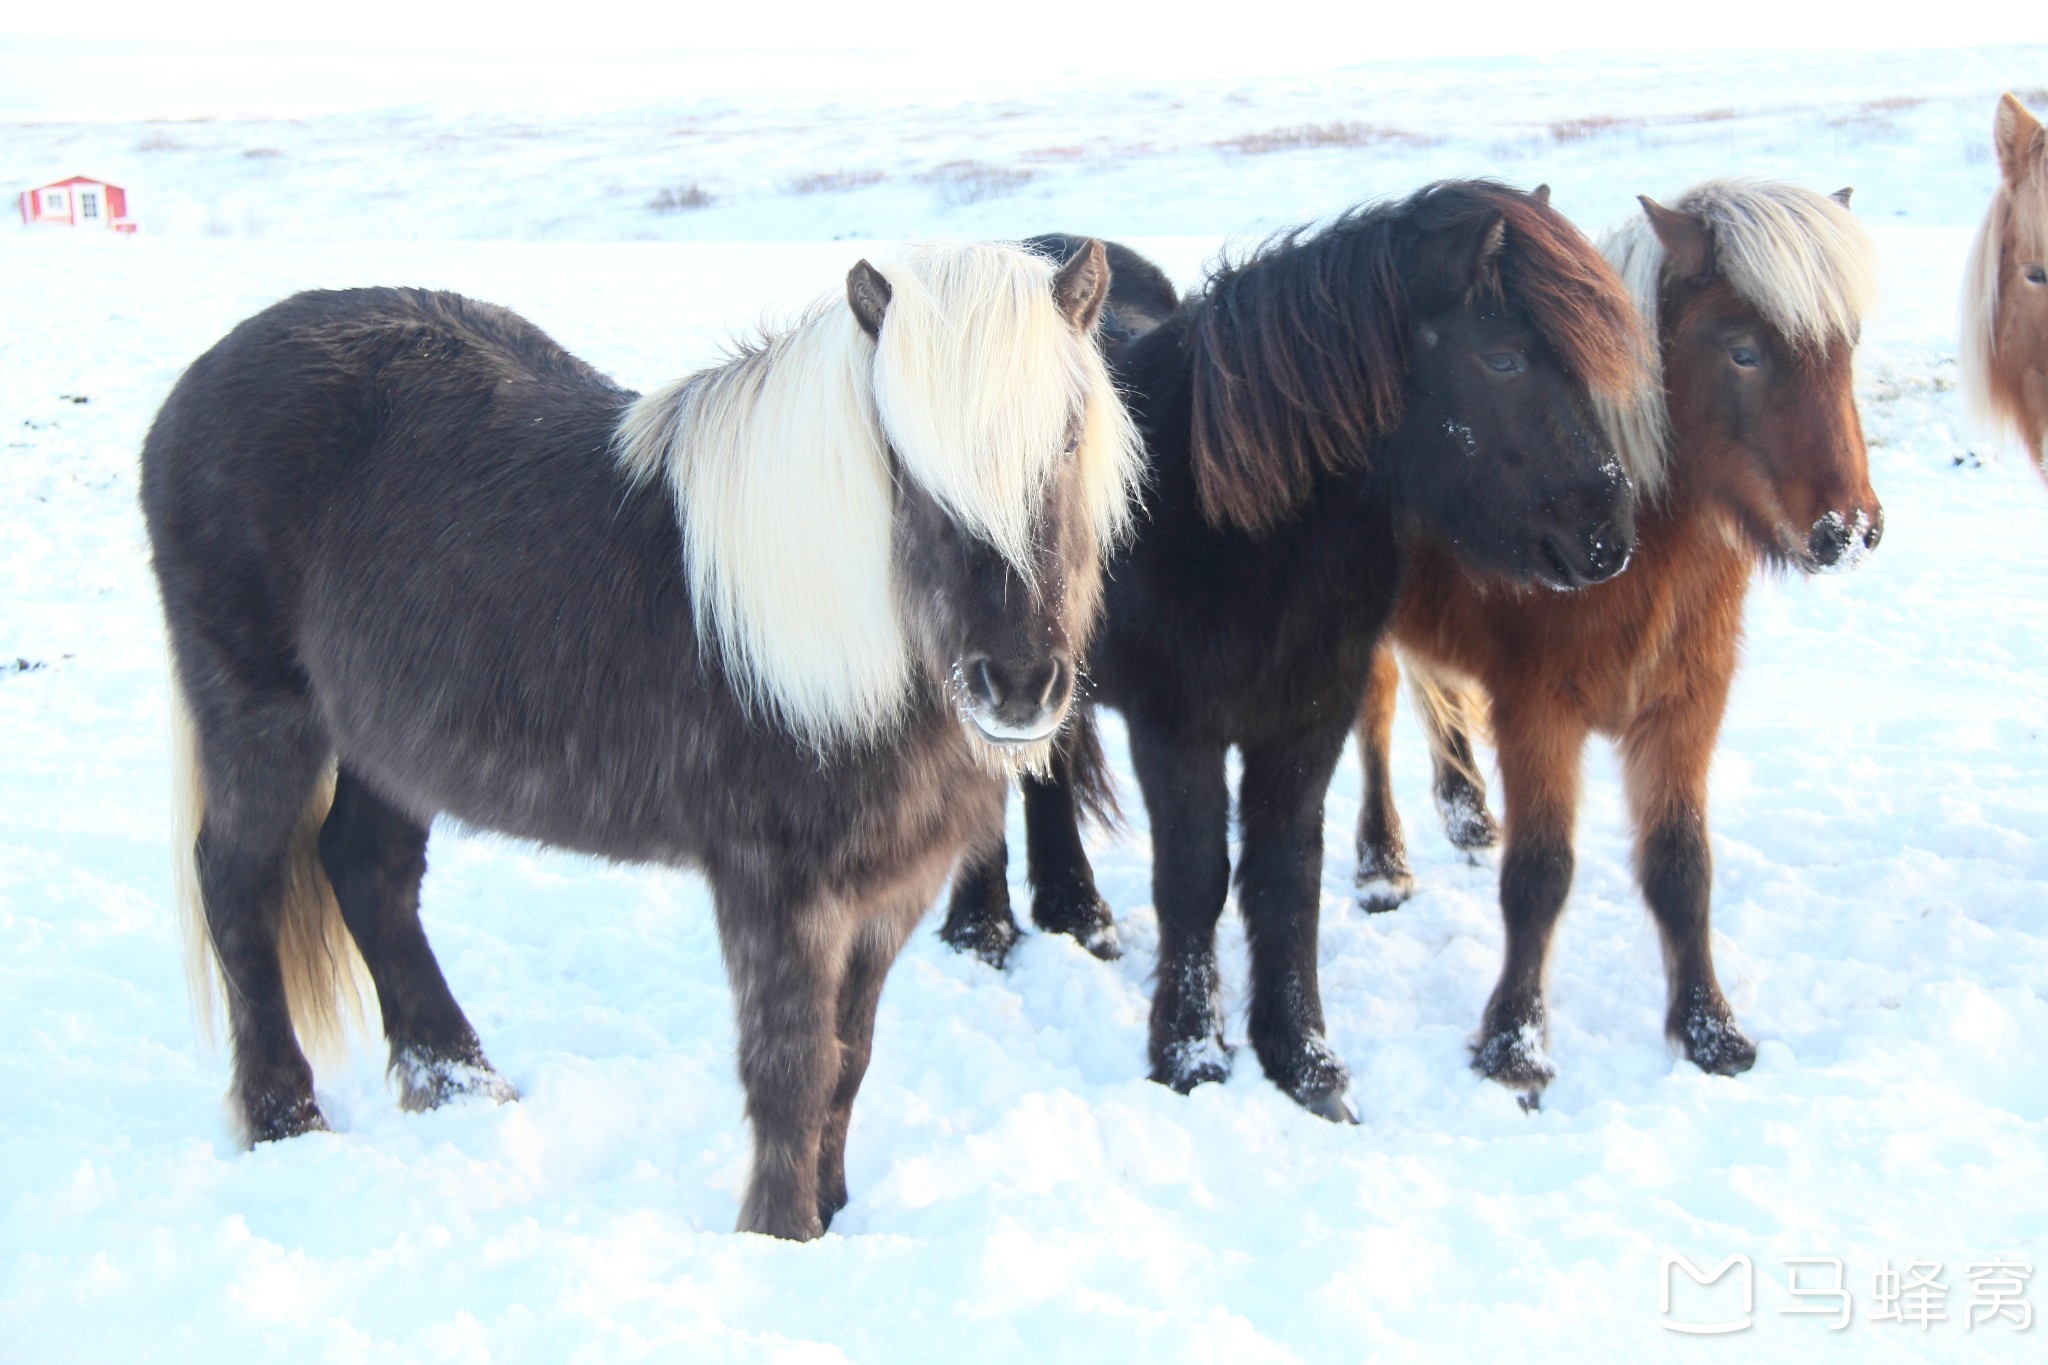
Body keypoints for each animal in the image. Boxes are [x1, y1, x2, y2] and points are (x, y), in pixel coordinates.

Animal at [144, 240, 1146, 1244]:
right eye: (901, 460)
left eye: (1066, 438)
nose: (1016, 685)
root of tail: (193, 388)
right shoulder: (776, 891)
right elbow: (792, 1068)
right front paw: (781, 1234)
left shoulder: (887, 897)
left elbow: (849, 1059)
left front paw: (834, 1214)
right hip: (261, 719)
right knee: (238, 882)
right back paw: (285, 1117)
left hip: (388, 746)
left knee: (367, 870)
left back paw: (461, 1082)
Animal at [1351, 179, 1875, 1096]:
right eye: (1744, 352)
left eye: (1846, 346)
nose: (1846, 530)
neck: (1639, 550)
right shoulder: (1539, 715)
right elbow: (1540, 878)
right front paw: (1514, 1048)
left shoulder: (1683, 709)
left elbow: (1681, 866)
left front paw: (1709, 1031)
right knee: (1378, 721)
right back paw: (1383, 866)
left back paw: (1467, 817)